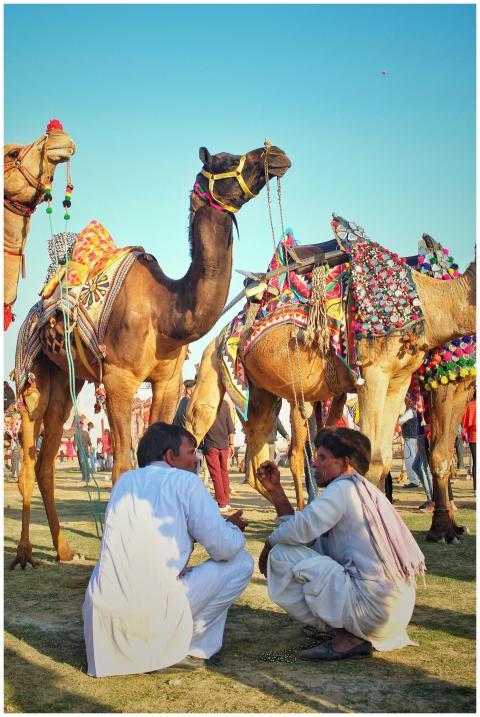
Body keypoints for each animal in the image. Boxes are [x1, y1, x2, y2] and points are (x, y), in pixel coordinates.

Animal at [12, 144, 291, 568]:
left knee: (47, 460)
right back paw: (26, 554)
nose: (275, 153)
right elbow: (122, 467)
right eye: (226, 159)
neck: (166, 312)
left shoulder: (168, 381)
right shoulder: (119, 378)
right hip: (34, 372)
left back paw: (62, 549)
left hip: (68, 379)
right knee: (28, 458)